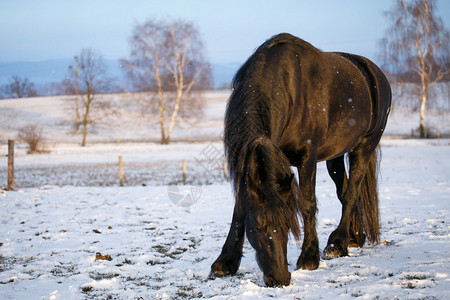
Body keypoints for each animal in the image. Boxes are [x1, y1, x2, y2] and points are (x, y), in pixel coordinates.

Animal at [211, 32, 390, 286]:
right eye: (258, 225)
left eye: (289, 225)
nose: (280, 278)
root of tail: (372, 70)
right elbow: (239, 208)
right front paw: (225, 262)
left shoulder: (307, 157)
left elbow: (308, 203)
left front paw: (309, 257)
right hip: (335, 156)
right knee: (344, 190)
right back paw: (354, 237)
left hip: (364, 147)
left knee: (352, 191)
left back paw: (337, 244)